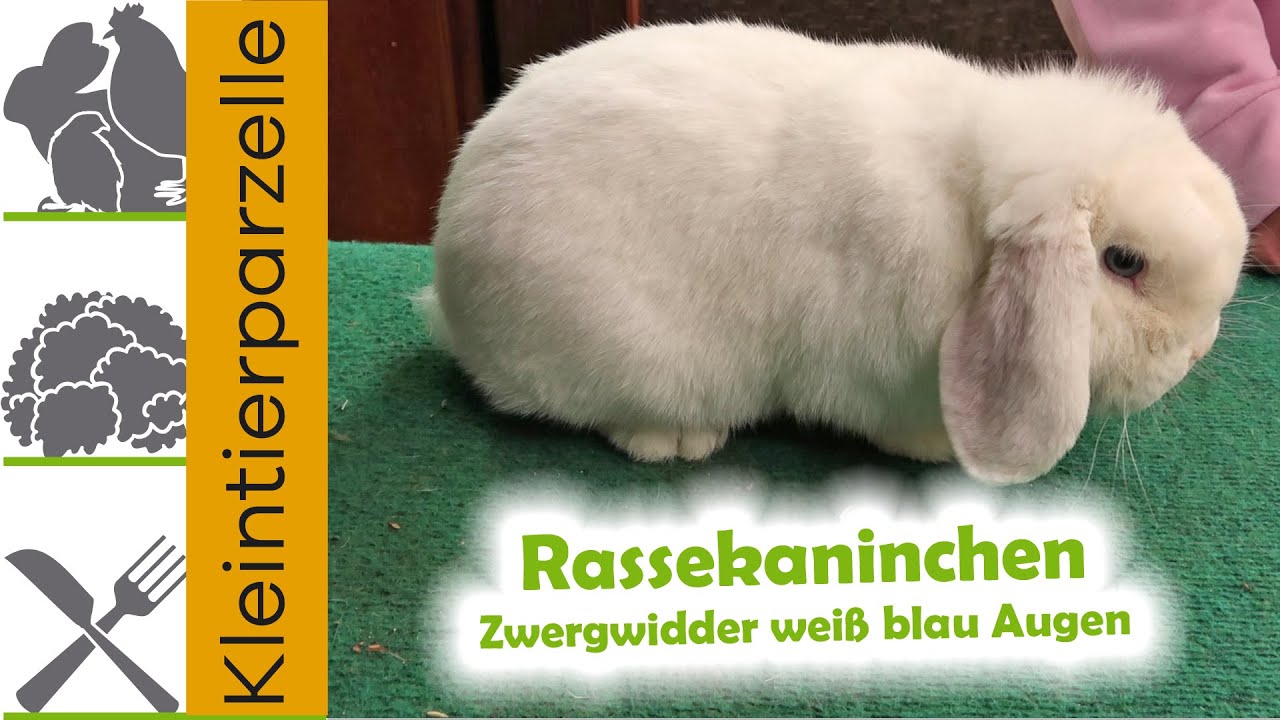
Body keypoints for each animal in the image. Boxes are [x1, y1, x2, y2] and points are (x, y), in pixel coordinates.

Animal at [416, 20, 1249, 485]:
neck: (970, 204)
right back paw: (676, 437)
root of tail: (450, 290)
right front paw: (937, 452)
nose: (1199, 350)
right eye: (1123, 263)